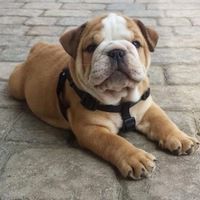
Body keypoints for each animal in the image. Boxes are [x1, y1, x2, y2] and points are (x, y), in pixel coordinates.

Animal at [8, 13, 198, 180]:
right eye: (91, 48)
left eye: (136, 43)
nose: (116, 51)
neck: (121, 99)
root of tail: (38, 47)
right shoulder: (91, 129)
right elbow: (114, 142)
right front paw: (136, 157)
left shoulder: (148, 107)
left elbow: (164, 121)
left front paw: (181, 137)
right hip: (16, 86)